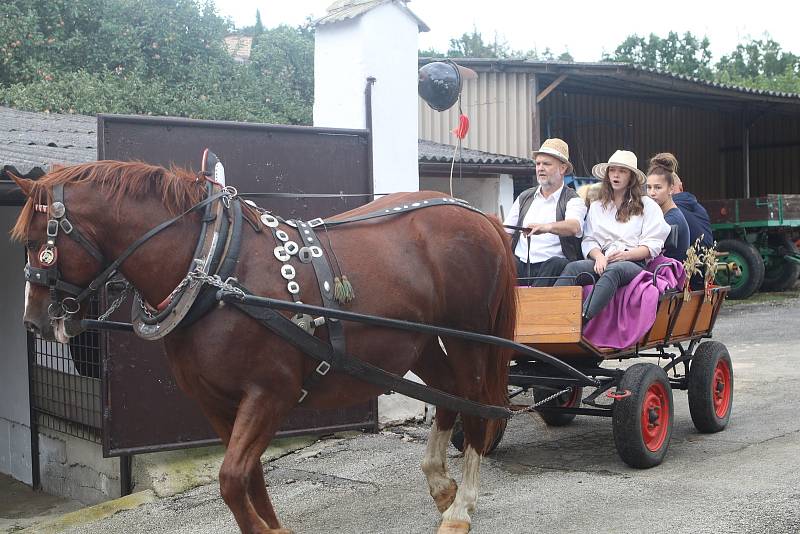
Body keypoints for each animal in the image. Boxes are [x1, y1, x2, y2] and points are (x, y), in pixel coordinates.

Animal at [14, 163, 520, 534]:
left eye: (39, 242)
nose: (33, 322)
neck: (215, 267)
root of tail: (477, 215)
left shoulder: (270, 393)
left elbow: (231, 479)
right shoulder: (216, 402)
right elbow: (248, 475)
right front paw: (274, 527)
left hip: (468, 336)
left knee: (477, 406)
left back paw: (461, 508)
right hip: (421, 343)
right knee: (449, 395)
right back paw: (440, 484)